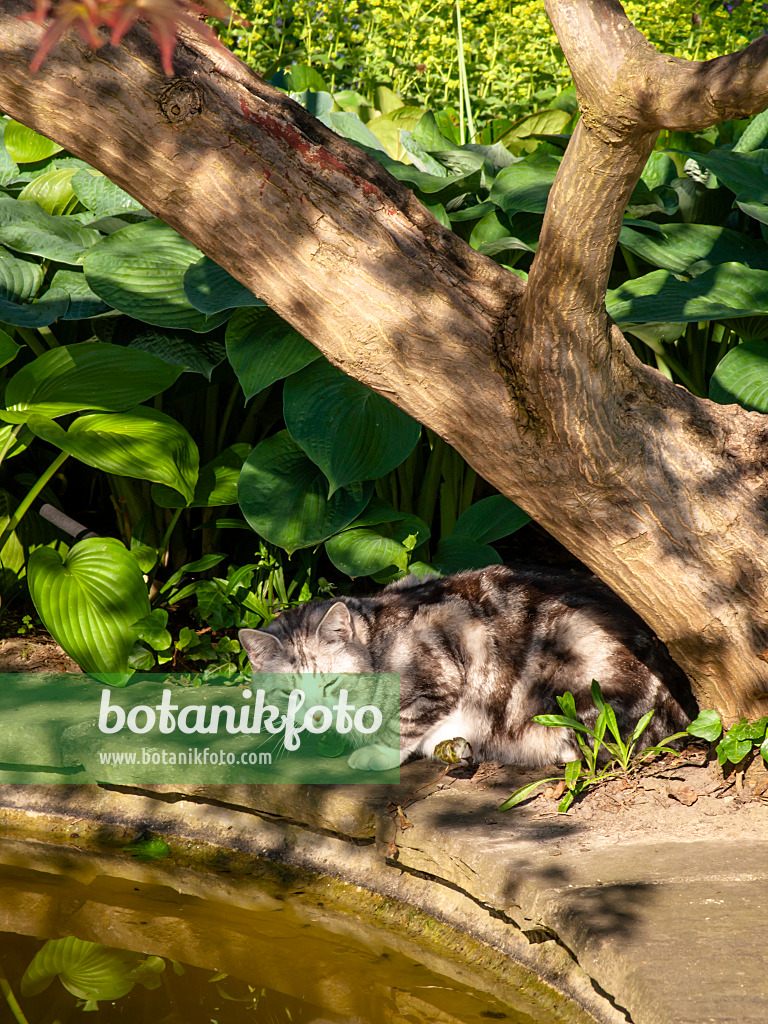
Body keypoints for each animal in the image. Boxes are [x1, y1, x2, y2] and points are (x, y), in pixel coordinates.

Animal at [240, 565, 696, 770]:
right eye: (288, 693)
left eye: (332, 683)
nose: (315, 715)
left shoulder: (440, 662)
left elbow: (404, 722)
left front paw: (375, 752)